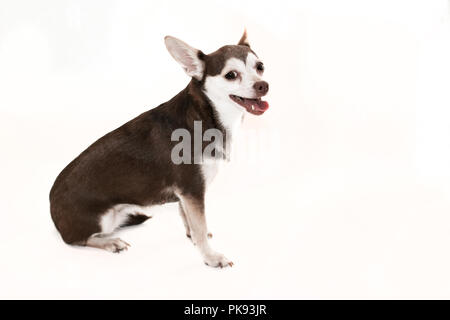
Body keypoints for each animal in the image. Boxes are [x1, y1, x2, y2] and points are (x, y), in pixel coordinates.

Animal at [50, 30, 268, 268]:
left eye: (260, 67)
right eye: (231, 75)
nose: (263, 85)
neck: (208, 115)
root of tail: (51, 210)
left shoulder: (186, 195)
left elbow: (189, 220)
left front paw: (193, 238)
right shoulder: (192, 189)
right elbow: (199, 226)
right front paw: (211, 257)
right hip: (101, 220)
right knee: (77, 239)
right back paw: (110, 242)